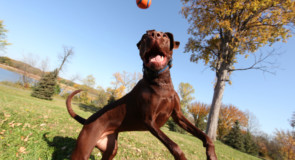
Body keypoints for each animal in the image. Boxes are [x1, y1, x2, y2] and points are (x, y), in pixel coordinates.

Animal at [66, 30, 217, 160]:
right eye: (145, 37)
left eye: (164, 36)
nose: (154, 35)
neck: (161, 83)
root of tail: (87, 120)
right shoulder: (149, 120)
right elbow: (174, 145)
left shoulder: (178, 115)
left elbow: (204, 135)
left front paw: (211, 153)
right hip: (83, 149)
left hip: (111, 148)